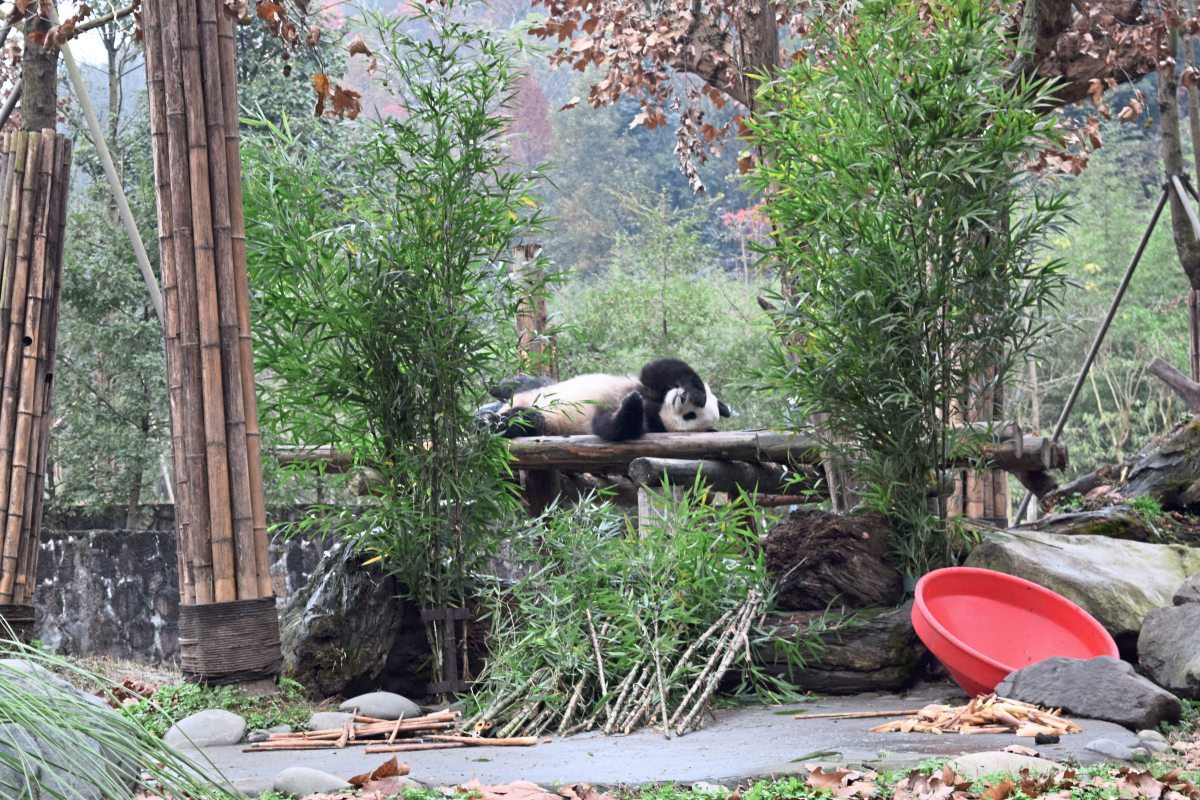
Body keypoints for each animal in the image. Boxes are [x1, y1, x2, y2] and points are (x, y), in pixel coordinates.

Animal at [489, 358, 732, 442]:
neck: (657, 407)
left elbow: (610, 428)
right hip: (541, 390)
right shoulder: (652, 387)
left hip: (548, 420)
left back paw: (487, 422)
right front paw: (696, 390)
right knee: (524, 384)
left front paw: (631, 404)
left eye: (690, 416)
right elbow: (659, 368)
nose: (681, 397)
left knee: (523, 419)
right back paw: (495, 387)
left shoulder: (653, 425)